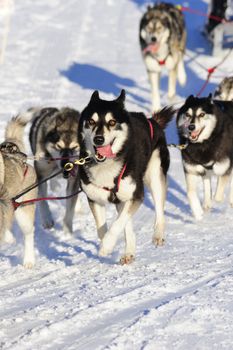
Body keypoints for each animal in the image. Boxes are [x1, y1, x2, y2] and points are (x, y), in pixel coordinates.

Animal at [78, 89, 173, 264]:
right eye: (91, 121)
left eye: (112, 122)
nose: (98, 139)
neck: (106, 165)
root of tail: (151, 120)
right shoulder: (95, 199)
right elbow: (103, 228)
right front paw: (106, 244)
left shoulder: (136, 195)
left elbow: (117, 224)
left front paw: (107, 245)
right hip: (122, 199)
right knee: (127, 224)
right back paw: (129, 252)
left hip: (154, 177)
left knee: (159, 210)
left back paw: (158, 235)